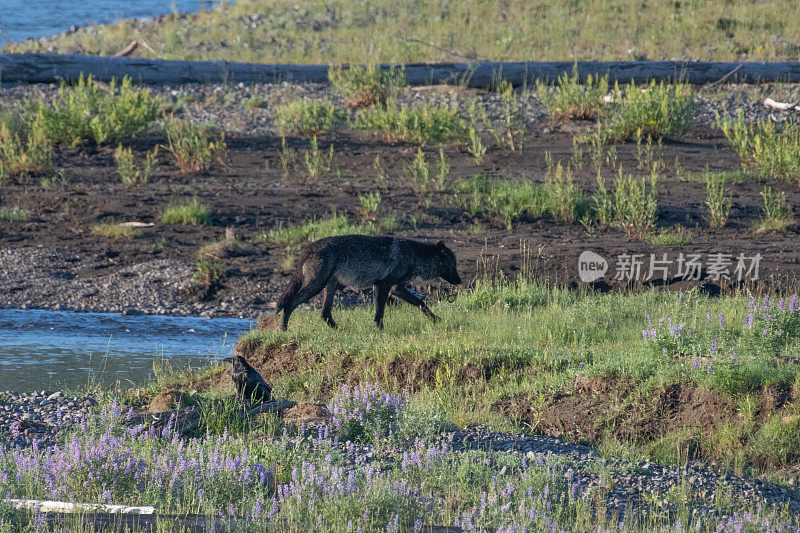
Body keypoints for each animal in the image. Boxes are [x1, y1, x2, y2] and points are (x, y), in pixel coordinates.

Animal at [276, 236, 460, 328]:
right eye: (454, 265)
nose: (460, 281)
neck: (414, 255)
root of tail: (308, 248)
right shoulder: (384, 286)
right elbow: (380, 312)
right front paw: (379, 329)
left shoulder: (394, 288)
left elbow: (421, 303)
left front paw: (436, 320)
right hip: (315, 287)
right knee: (289, 304)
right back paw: (284, 330)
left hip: (329, 287)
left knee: (325, 314)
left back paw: (340, 331)